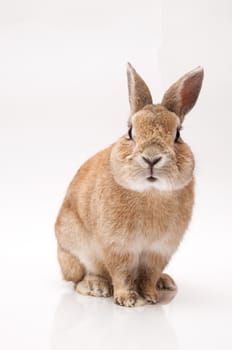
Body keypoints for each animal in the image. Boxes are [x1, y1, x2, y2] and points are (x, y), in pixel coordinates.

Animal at [55, 62, 204, 306]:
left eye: (177, 135)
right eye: (130, 132)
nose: (151, 158)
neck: (150, 192)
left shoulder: (159, 251)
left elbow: (149, 274)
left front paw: (151, 296)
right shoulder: (118, 247)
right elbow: (121, 273)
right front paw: (128, 300)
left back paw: (165, 282)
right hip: (73, 250)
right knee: (77, 279)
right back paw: (97, 286)